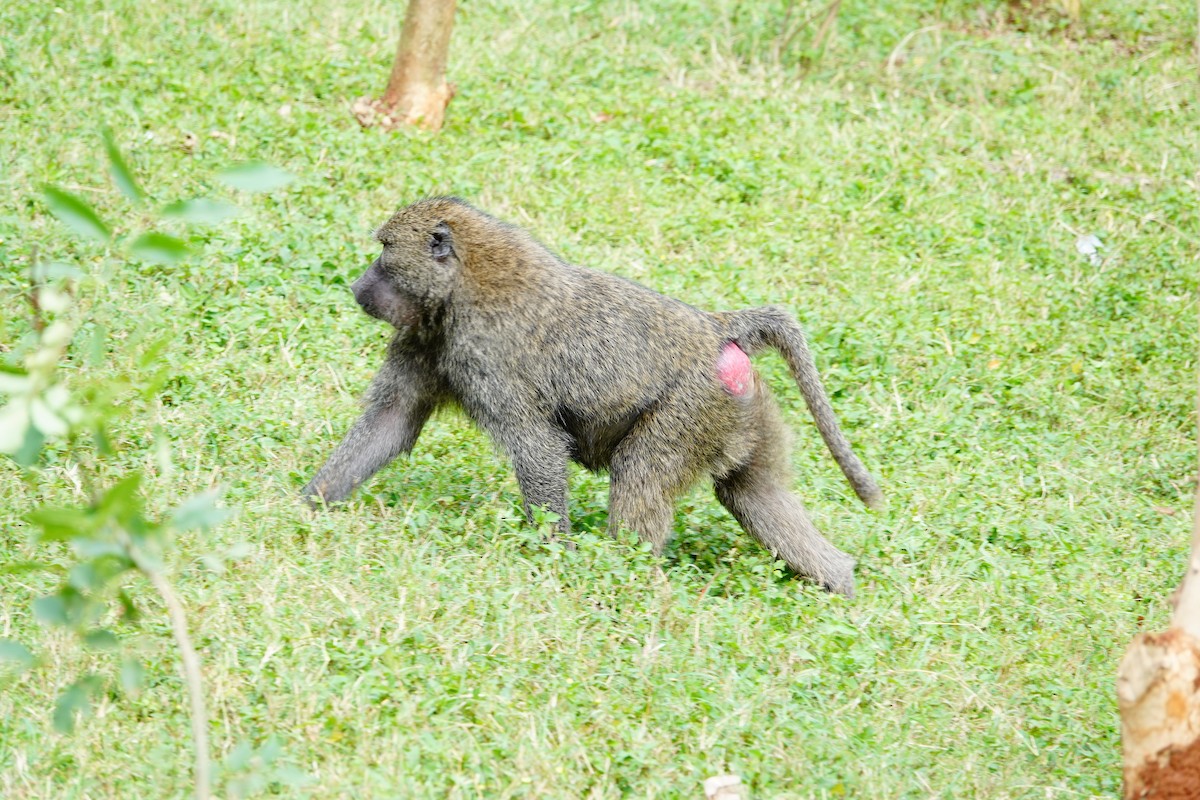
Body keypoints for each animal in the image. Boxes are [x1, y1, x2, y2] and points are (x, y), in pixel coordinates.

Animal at [302, 197, 882, 596]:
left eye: (383, 252)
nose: (357, 287)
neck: (462, 284)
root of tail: (716, 329)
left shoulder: (489, 356)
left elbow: (537, 448)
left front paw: (551, 557)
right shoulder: (425, 338)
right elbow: (392, 421)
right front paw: (306, 505)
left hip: (689, 410)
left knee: (640, 479)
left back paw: (621, 579)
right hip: (738, 413)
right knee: (754, 496)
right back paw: (841, 584)